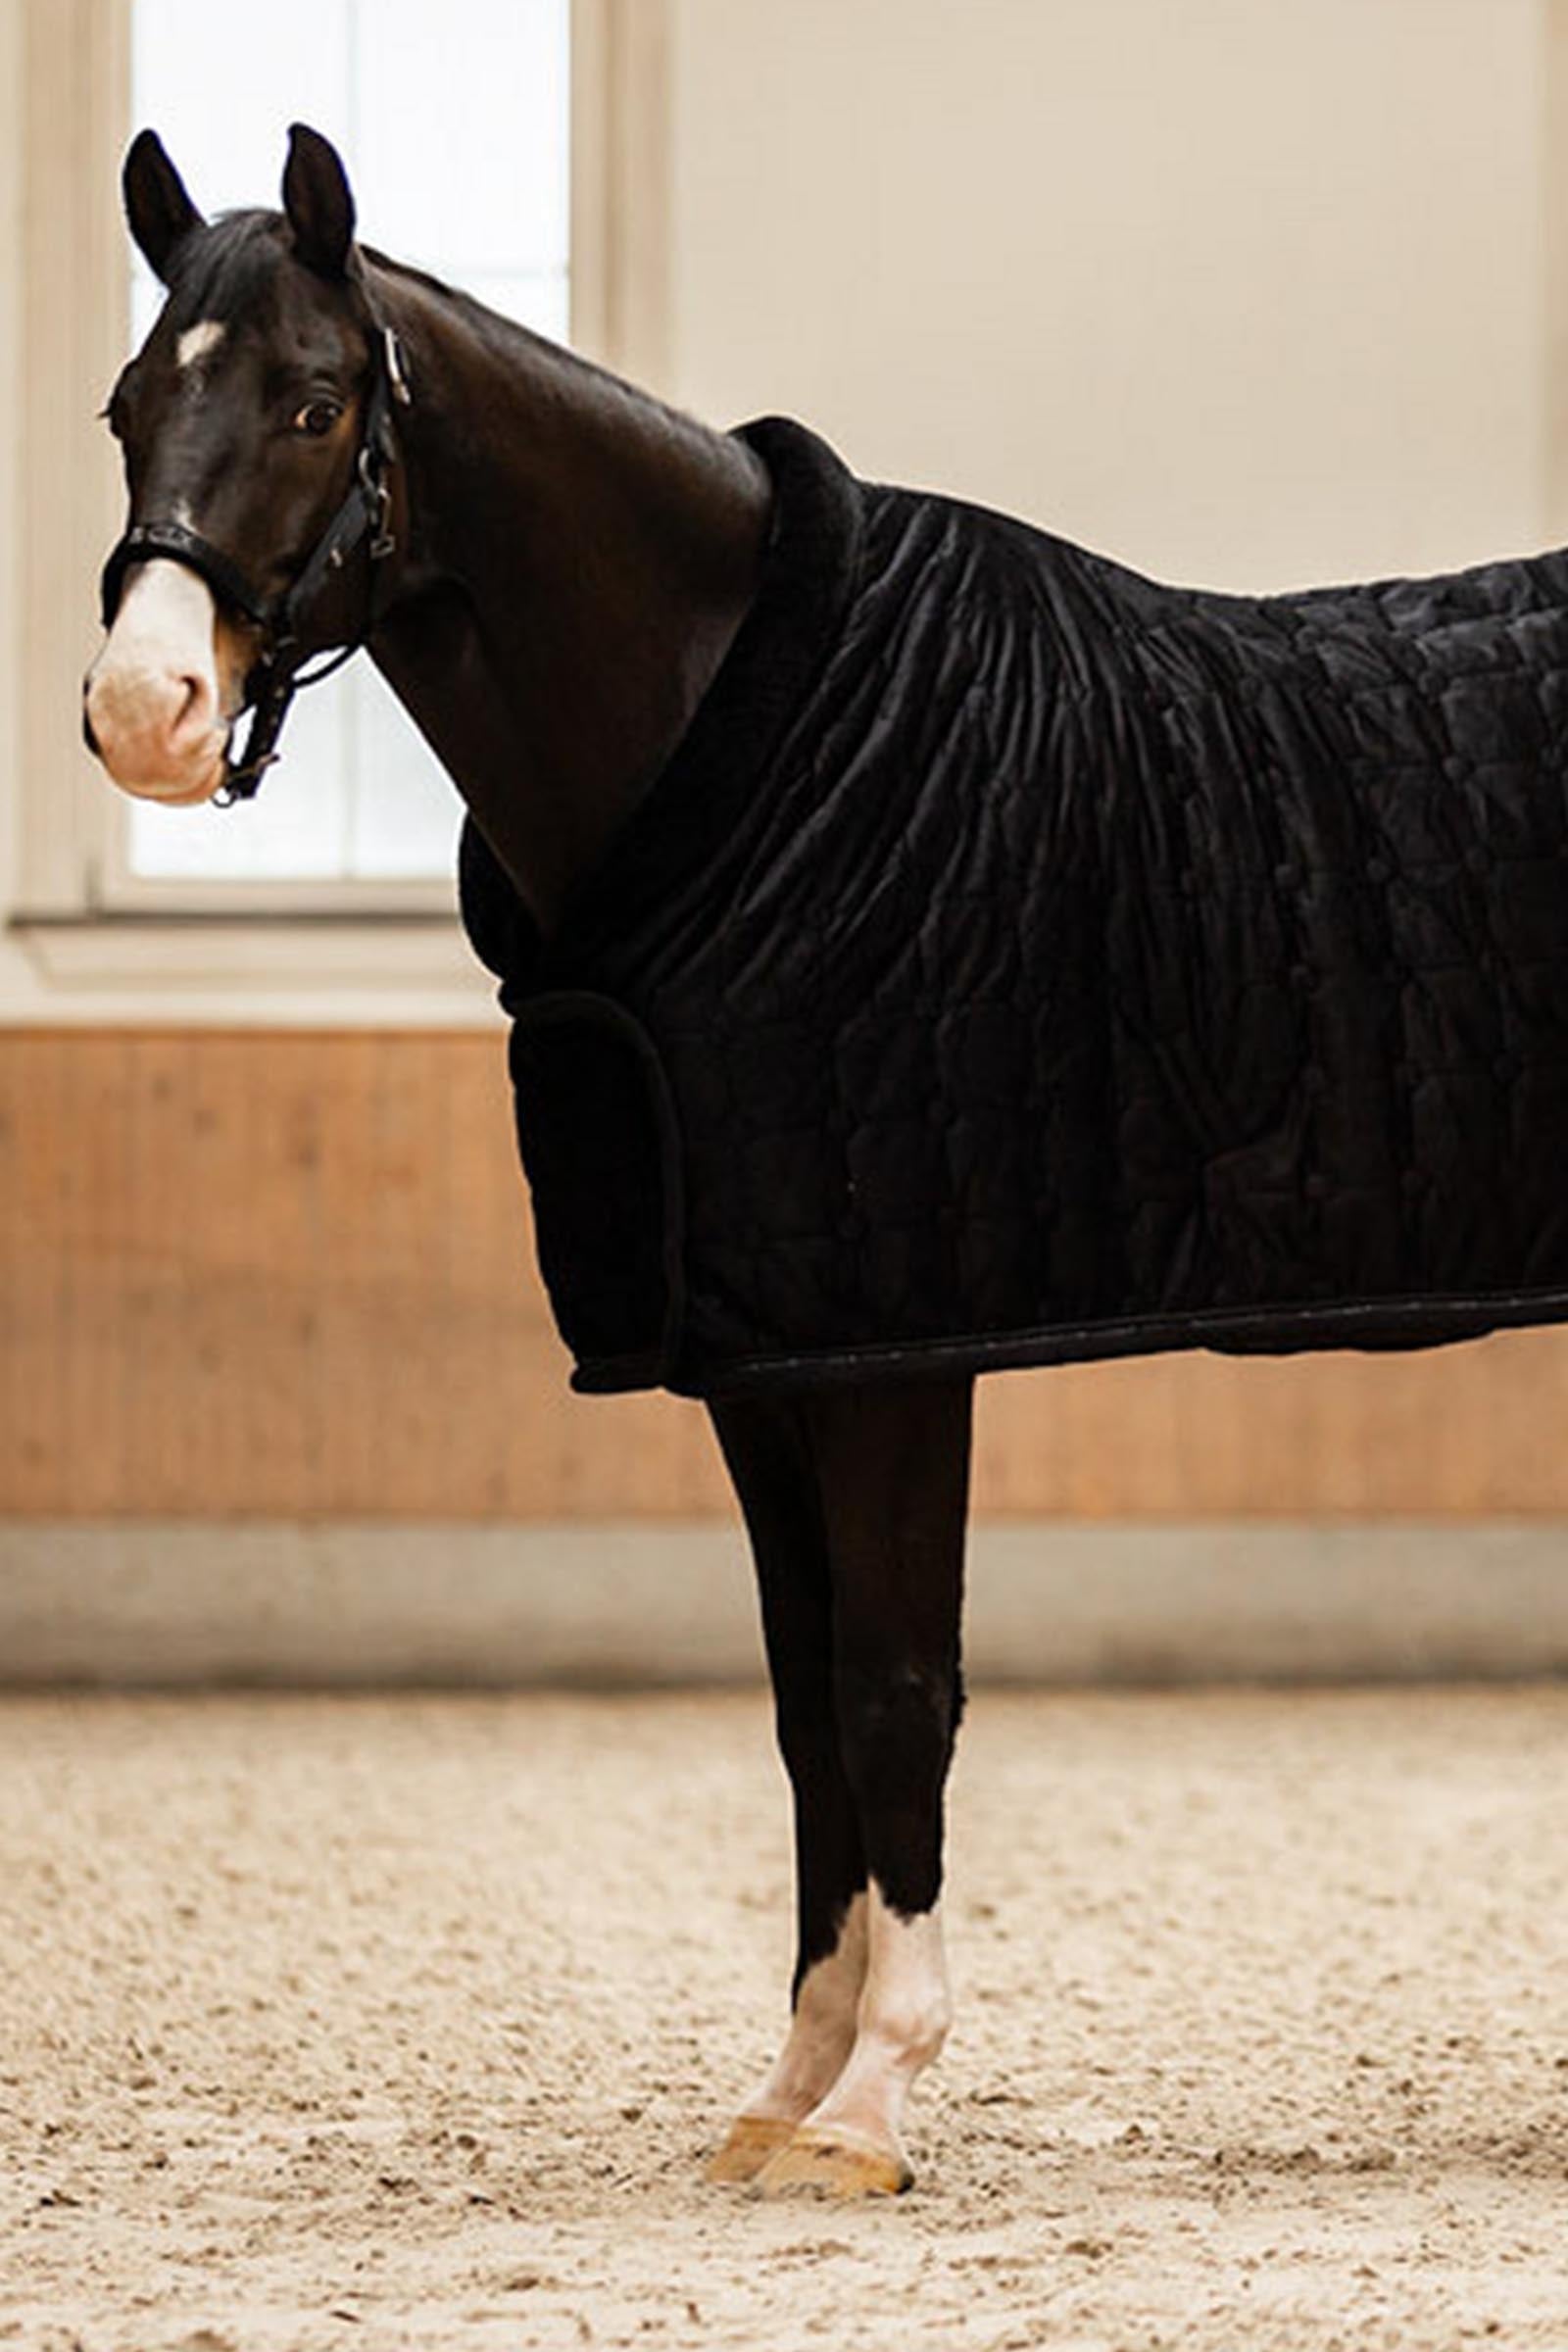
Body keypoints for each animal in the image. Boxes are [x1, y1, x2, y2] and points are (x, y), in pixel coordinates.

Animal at [85, 124, 1568, 2200]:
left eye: (314, 401)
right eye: (128, 405)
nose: (140, 714)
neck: (760, 756)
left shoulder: (895, 1342)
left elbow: (893, 1691)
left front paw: (875, 2104)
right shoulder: (760, 1359)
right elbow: (804, 1711)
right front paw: (788, 2087)